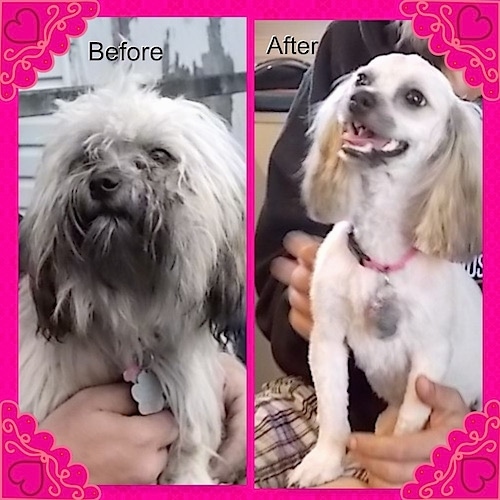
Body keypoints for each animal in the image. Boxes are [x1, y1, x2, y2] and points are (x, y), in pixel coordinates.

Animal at [292, 52, 482, 486]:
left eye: (414, 97)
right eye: (363, 78)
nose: (358, 98)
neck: (380, 262)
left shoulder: (428, 360)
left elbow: (410, 421)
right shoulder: (326, 340)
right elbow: (333, 411)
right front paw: (324, 460)